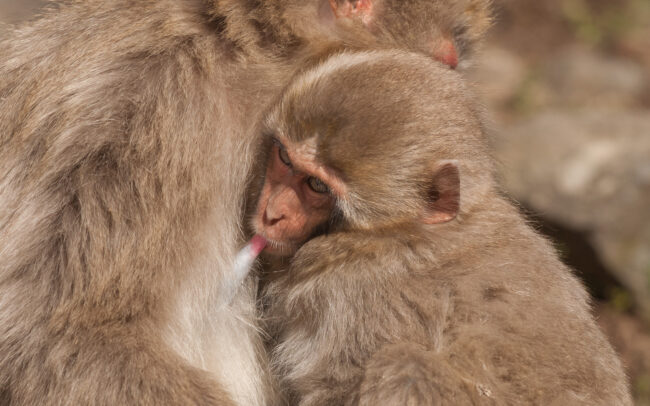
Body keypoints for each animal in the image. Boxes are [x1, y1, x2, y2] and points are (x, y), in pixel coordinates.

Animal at [251, 50, 633, 405]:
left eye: (317, 186)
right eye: (284, 159)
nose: (271, 214)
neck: (404, 234)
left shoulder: (356, 297)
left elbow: (337, 383)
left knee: (405, 367)